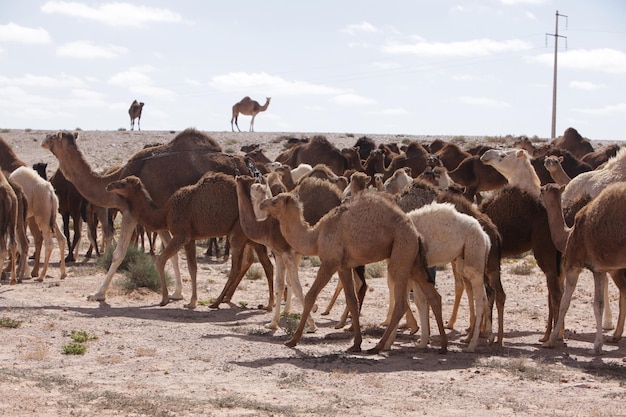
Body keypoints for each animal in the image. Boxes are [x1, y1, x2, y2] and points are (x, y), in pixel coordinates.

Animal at [42, 128, 256, 300]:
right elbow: (172, 255)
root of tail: (248, 169)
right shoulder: (160, 218)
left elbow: (118, 254)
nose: (43, 140)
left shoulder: (131, 211)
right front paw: (177, 293)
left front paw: (98, 294)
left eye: (53, 136)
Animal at [105, 172, 272, 308]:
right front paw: (192, 301)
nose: (109, 185)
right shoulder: (191, 238)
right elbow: (193, 268)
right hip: (251, 237)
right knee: (264, 263)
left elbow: (160, 260)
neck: (165, 213)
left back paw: (217, 302)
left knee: (238, 267)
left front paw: (165, 299)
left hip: (238, 233)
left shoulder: (181, 235)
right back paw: (260, 304)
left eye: (124, 183)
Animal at [258, 190, 448, 352]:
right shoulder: (344, 266)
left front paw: (292, 340)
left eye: (275, 201)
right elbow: (352, 301)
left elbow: (311, 296)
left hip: (401, 254)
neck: (316, 237)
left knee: (401, 302)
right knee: (434, 297)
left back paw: (378, 347)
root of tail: (417, 235)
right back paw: (443, 347)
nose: (261, 204)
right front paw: (356, 344)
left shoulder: (330, 262)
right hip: (414, 261)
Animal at [536, 182, 624, 352]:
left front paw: (551, 341)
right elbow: (599, 305)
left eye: (545, 189)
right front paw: (598, 345)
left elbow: (565, 302)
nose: (539, 189)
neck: (568, 235)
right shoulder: (599, 270)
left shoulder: (573, 265)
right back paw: (616, 336)